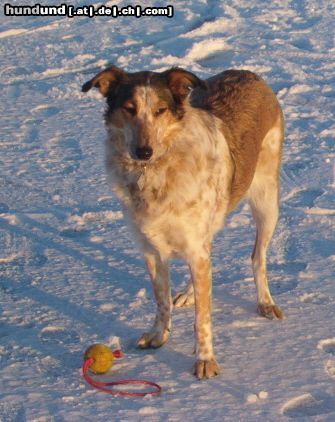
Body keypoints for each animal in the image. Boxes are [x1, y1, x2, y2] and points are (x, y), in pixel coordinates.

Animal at [82, 65, 284, 380]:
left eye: (161, 110)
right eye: (129, 109)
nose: (143, 151)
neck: (155, 174)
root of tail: (248, 73)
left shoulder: (195, 247)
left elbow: (203, 318)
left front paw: (205, 360)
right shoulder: (150, 249)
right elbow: (161, 299)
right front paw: (159, 336)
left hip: (266, 201)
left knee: (257, 258)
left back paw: (265, 302)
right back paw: (190, 293)